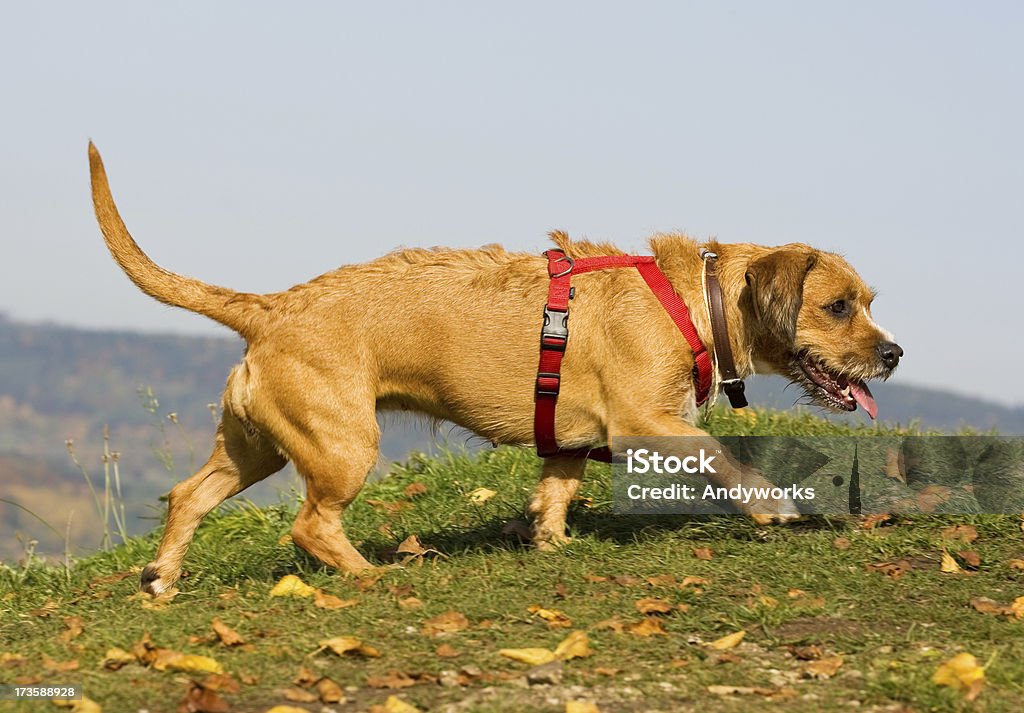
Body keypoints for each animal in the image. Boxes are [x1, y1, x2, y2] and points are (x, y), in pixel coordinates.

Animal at [90, 142, 905, 594]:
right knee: (311, 524)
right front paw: (771, 506)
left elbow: (556, 488)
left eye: (868, 302)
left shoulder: (572, 438)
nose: (894, 353)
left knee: (189, 495)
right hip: (343, 445)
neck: (694, 299)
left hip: (255, 445)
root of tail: (272, 306)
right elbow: (720, 452)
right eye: (838, 306)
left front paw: (552, 541)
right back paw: (372, 574)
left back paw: (163, 577)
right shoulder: (646, 422)